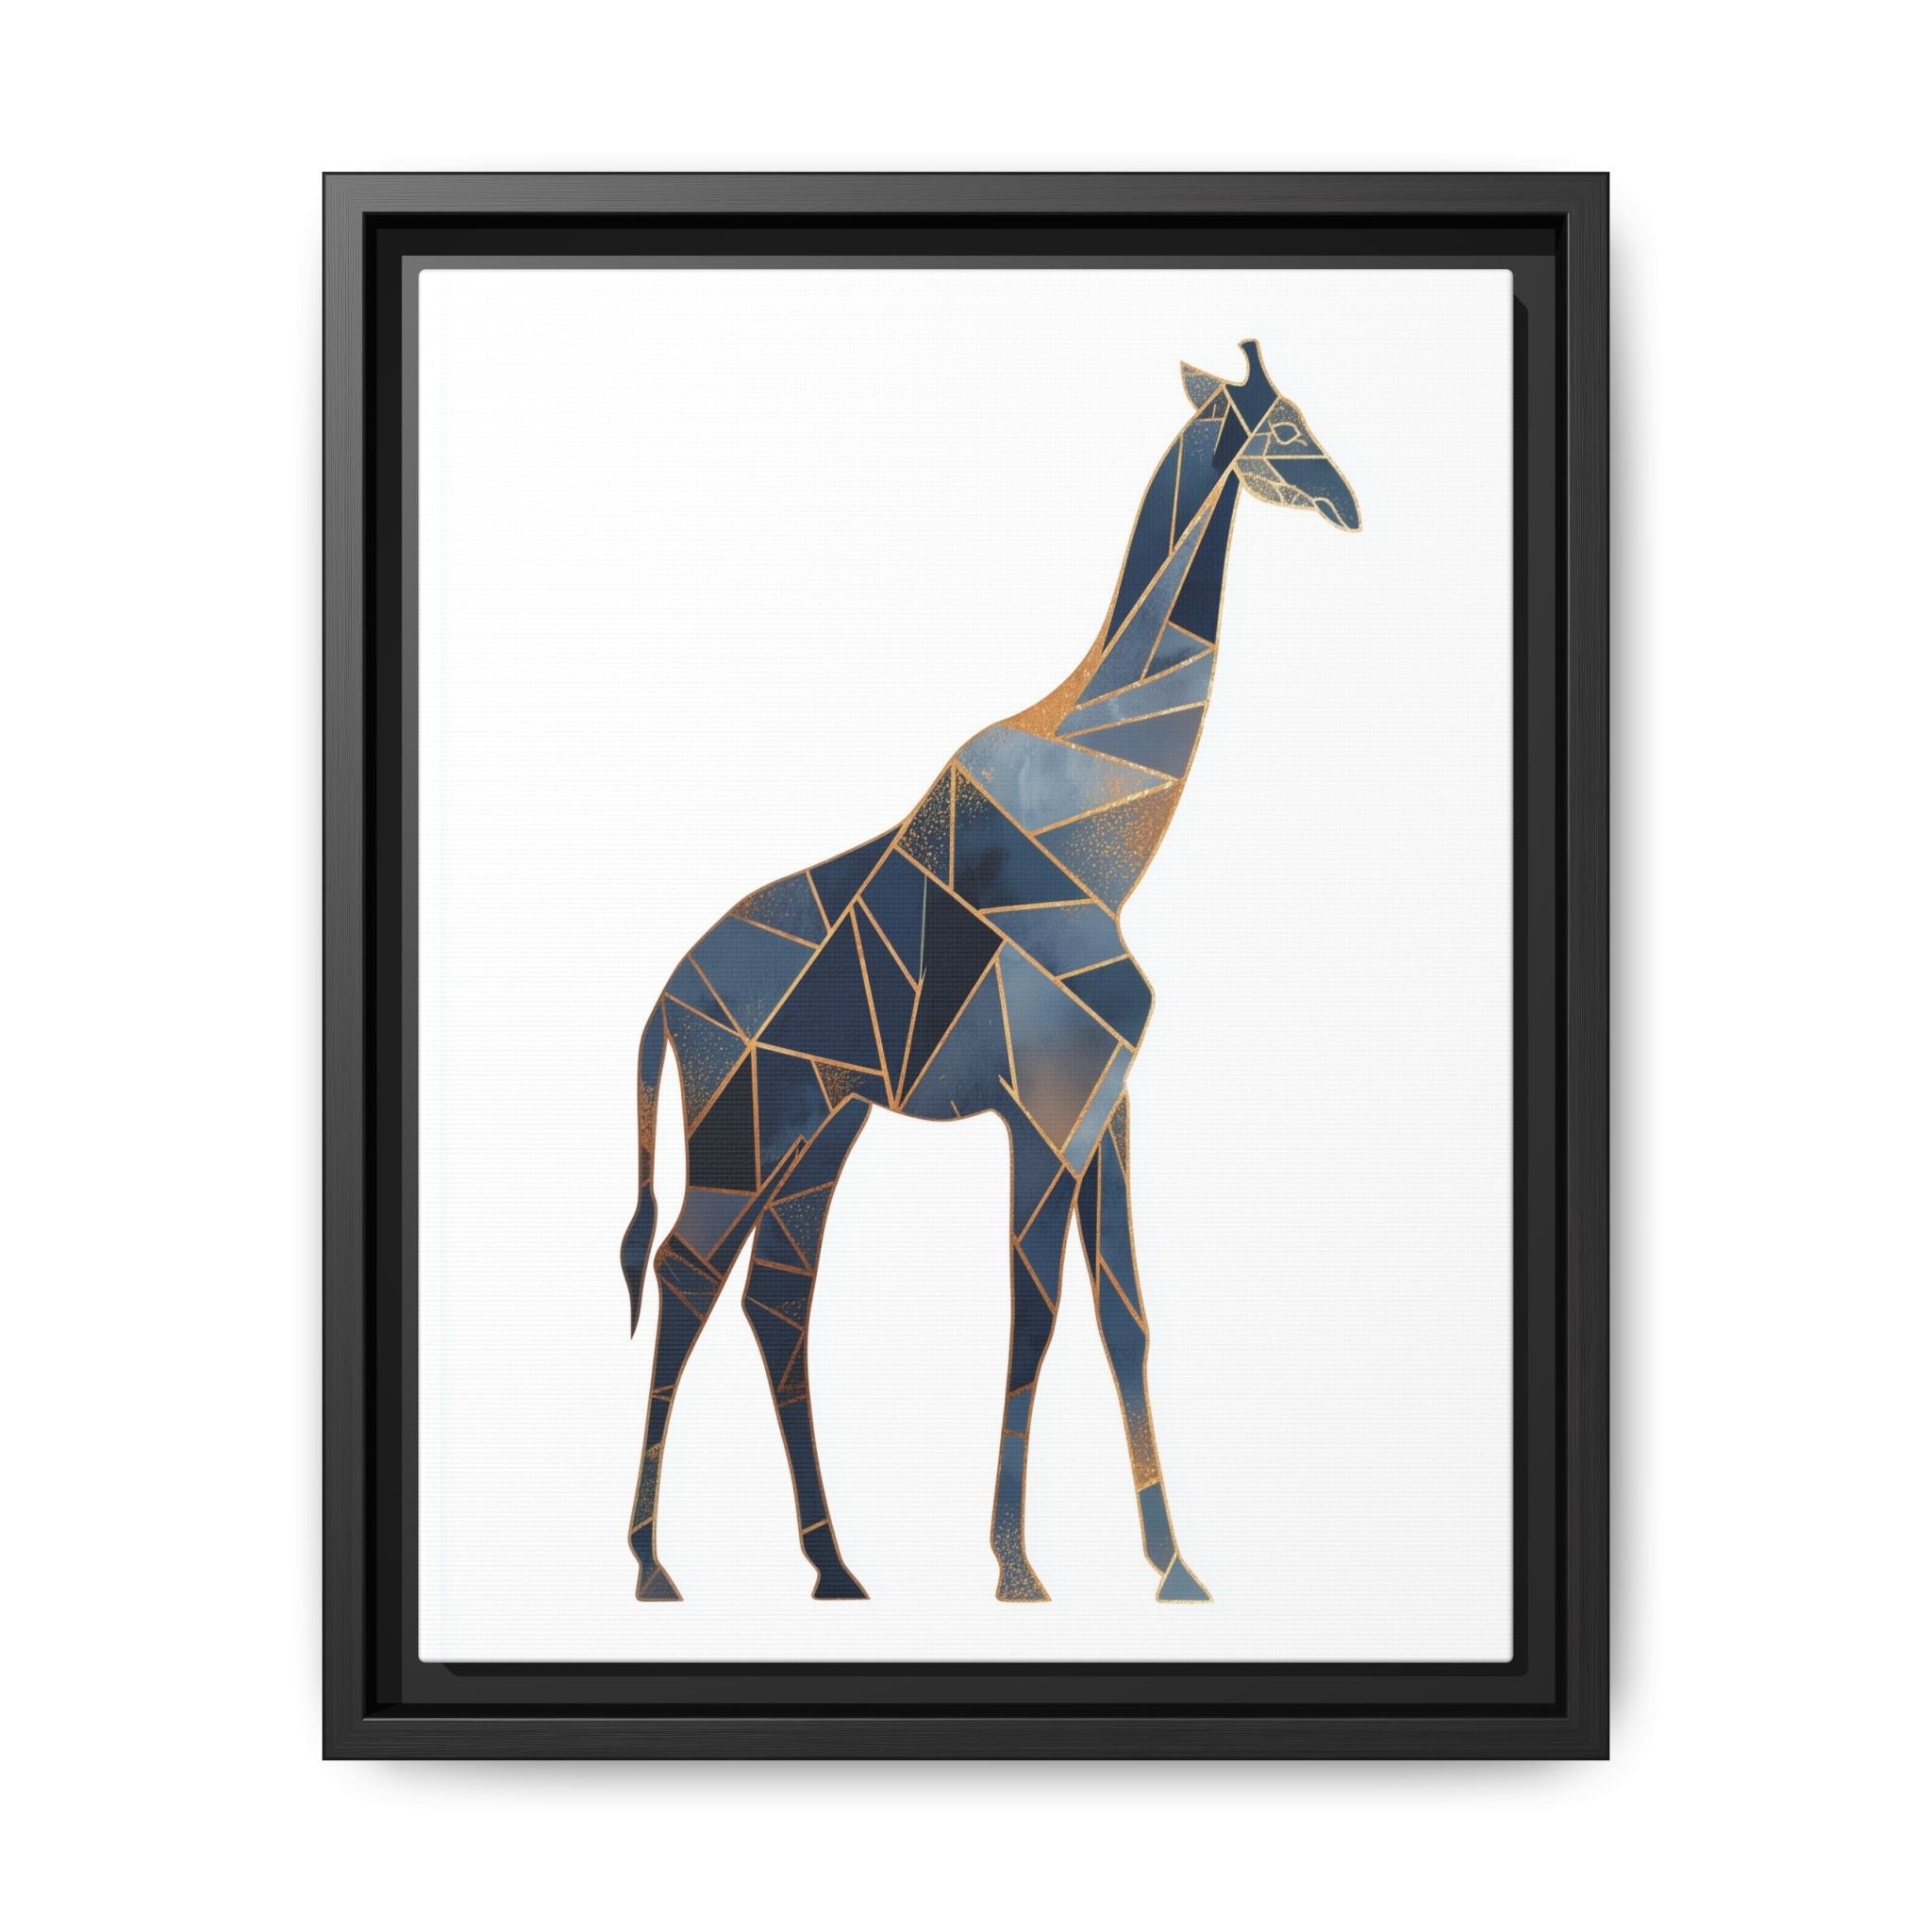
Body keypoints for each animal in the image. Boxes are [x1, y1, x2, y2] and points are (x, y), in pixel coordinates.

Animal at [620, 340, 1360, 1604]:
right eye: (1282, 427)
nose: (1347, 503)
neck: (1107, 835)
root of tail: (665, 1002)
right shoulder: (1045, 1106)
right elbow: (1035, 1312)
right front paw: (1016, 1566)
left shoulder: (1105, 1103)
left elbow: (1124, 1314)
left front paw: (1173, 1568)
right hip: (742, 1127)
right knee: (683, 1275)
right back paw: (652, 1565)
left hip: (819, 1130)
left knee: (775, 1295)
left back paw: (833, 1565)